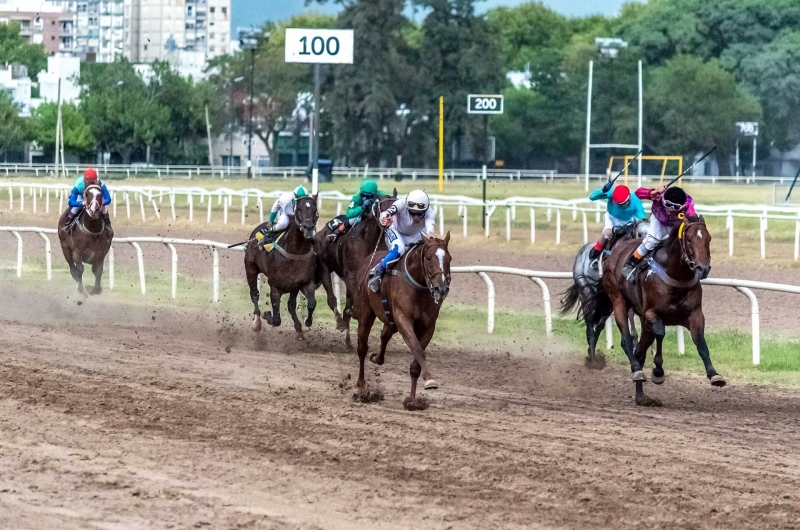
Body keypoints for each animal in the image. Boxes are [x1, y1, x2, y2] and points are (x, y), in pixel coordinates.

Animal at [244, 194, 318, 338]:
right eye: (299, 209)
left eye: (315, 210)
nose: (308, 227)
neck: (295, 251)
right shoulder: (275, 286)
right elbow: (277, 319)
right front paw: (267, 315)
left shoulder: (303, 283)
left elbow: (310, 303)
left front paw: (306, 323)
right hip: (250, 269)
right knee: (254, 294)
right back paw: (257, 323)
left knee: (291, 305)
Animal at [316, 189, 396, 346]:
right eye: (384, 208)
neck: (370, 239)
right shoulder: (351, 275)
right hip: (324, 268)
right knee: (331, 299)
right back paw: (341, 322)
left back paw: (348, 341)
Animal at [354, 232, 454, 404]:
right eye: (428, 257)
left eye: (449, 258)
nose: (440, 289)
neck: (418, 286)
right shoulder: (403, 319)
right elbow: (418, 350)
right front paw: (429, 379)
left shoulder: (428, 326)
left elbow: (416, 362)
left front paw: (413, 400)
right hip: (366, 312)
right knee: (362, 347)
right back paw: (361, 386)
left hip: (391, 321)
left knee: (384, 335)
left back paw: (376, 358)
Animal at [592, 213, 720, 404]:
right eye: (689, 239)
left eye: (708, 238)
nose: (702, 268)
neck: (677, 276)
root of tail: (616, 250)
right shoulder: (650, 314)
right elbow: (660, 333)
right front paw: (658, 372)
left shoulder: (695, 315)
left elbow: (700, 342)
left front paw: (714, 374)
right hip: (618, 301)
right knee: (627, 341)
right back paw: (637, 371)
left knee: (640, 351)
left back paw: (641, 396)